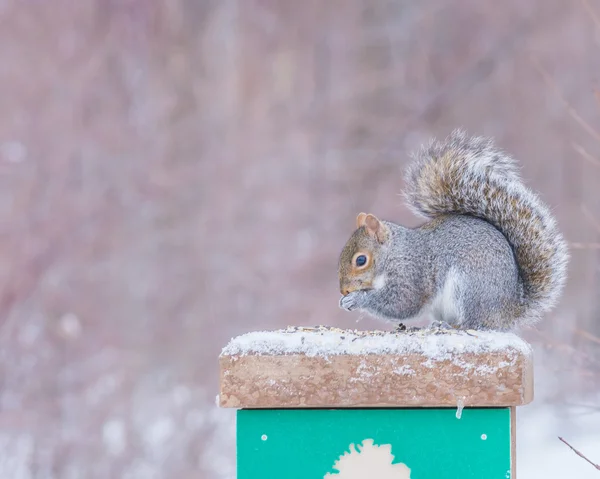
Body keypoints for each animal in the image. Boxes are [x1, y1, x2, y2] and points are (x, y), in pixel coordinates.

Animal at [338, 129, 568, 332]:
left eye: (361, 260)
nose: (343, 290)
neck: (394, 254)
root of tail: (508, 311)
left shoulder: (412, 274)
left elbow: (403, 303)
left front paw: (356, 299)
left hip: (469, 288)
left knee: (473, 323)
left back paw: (450, 326)